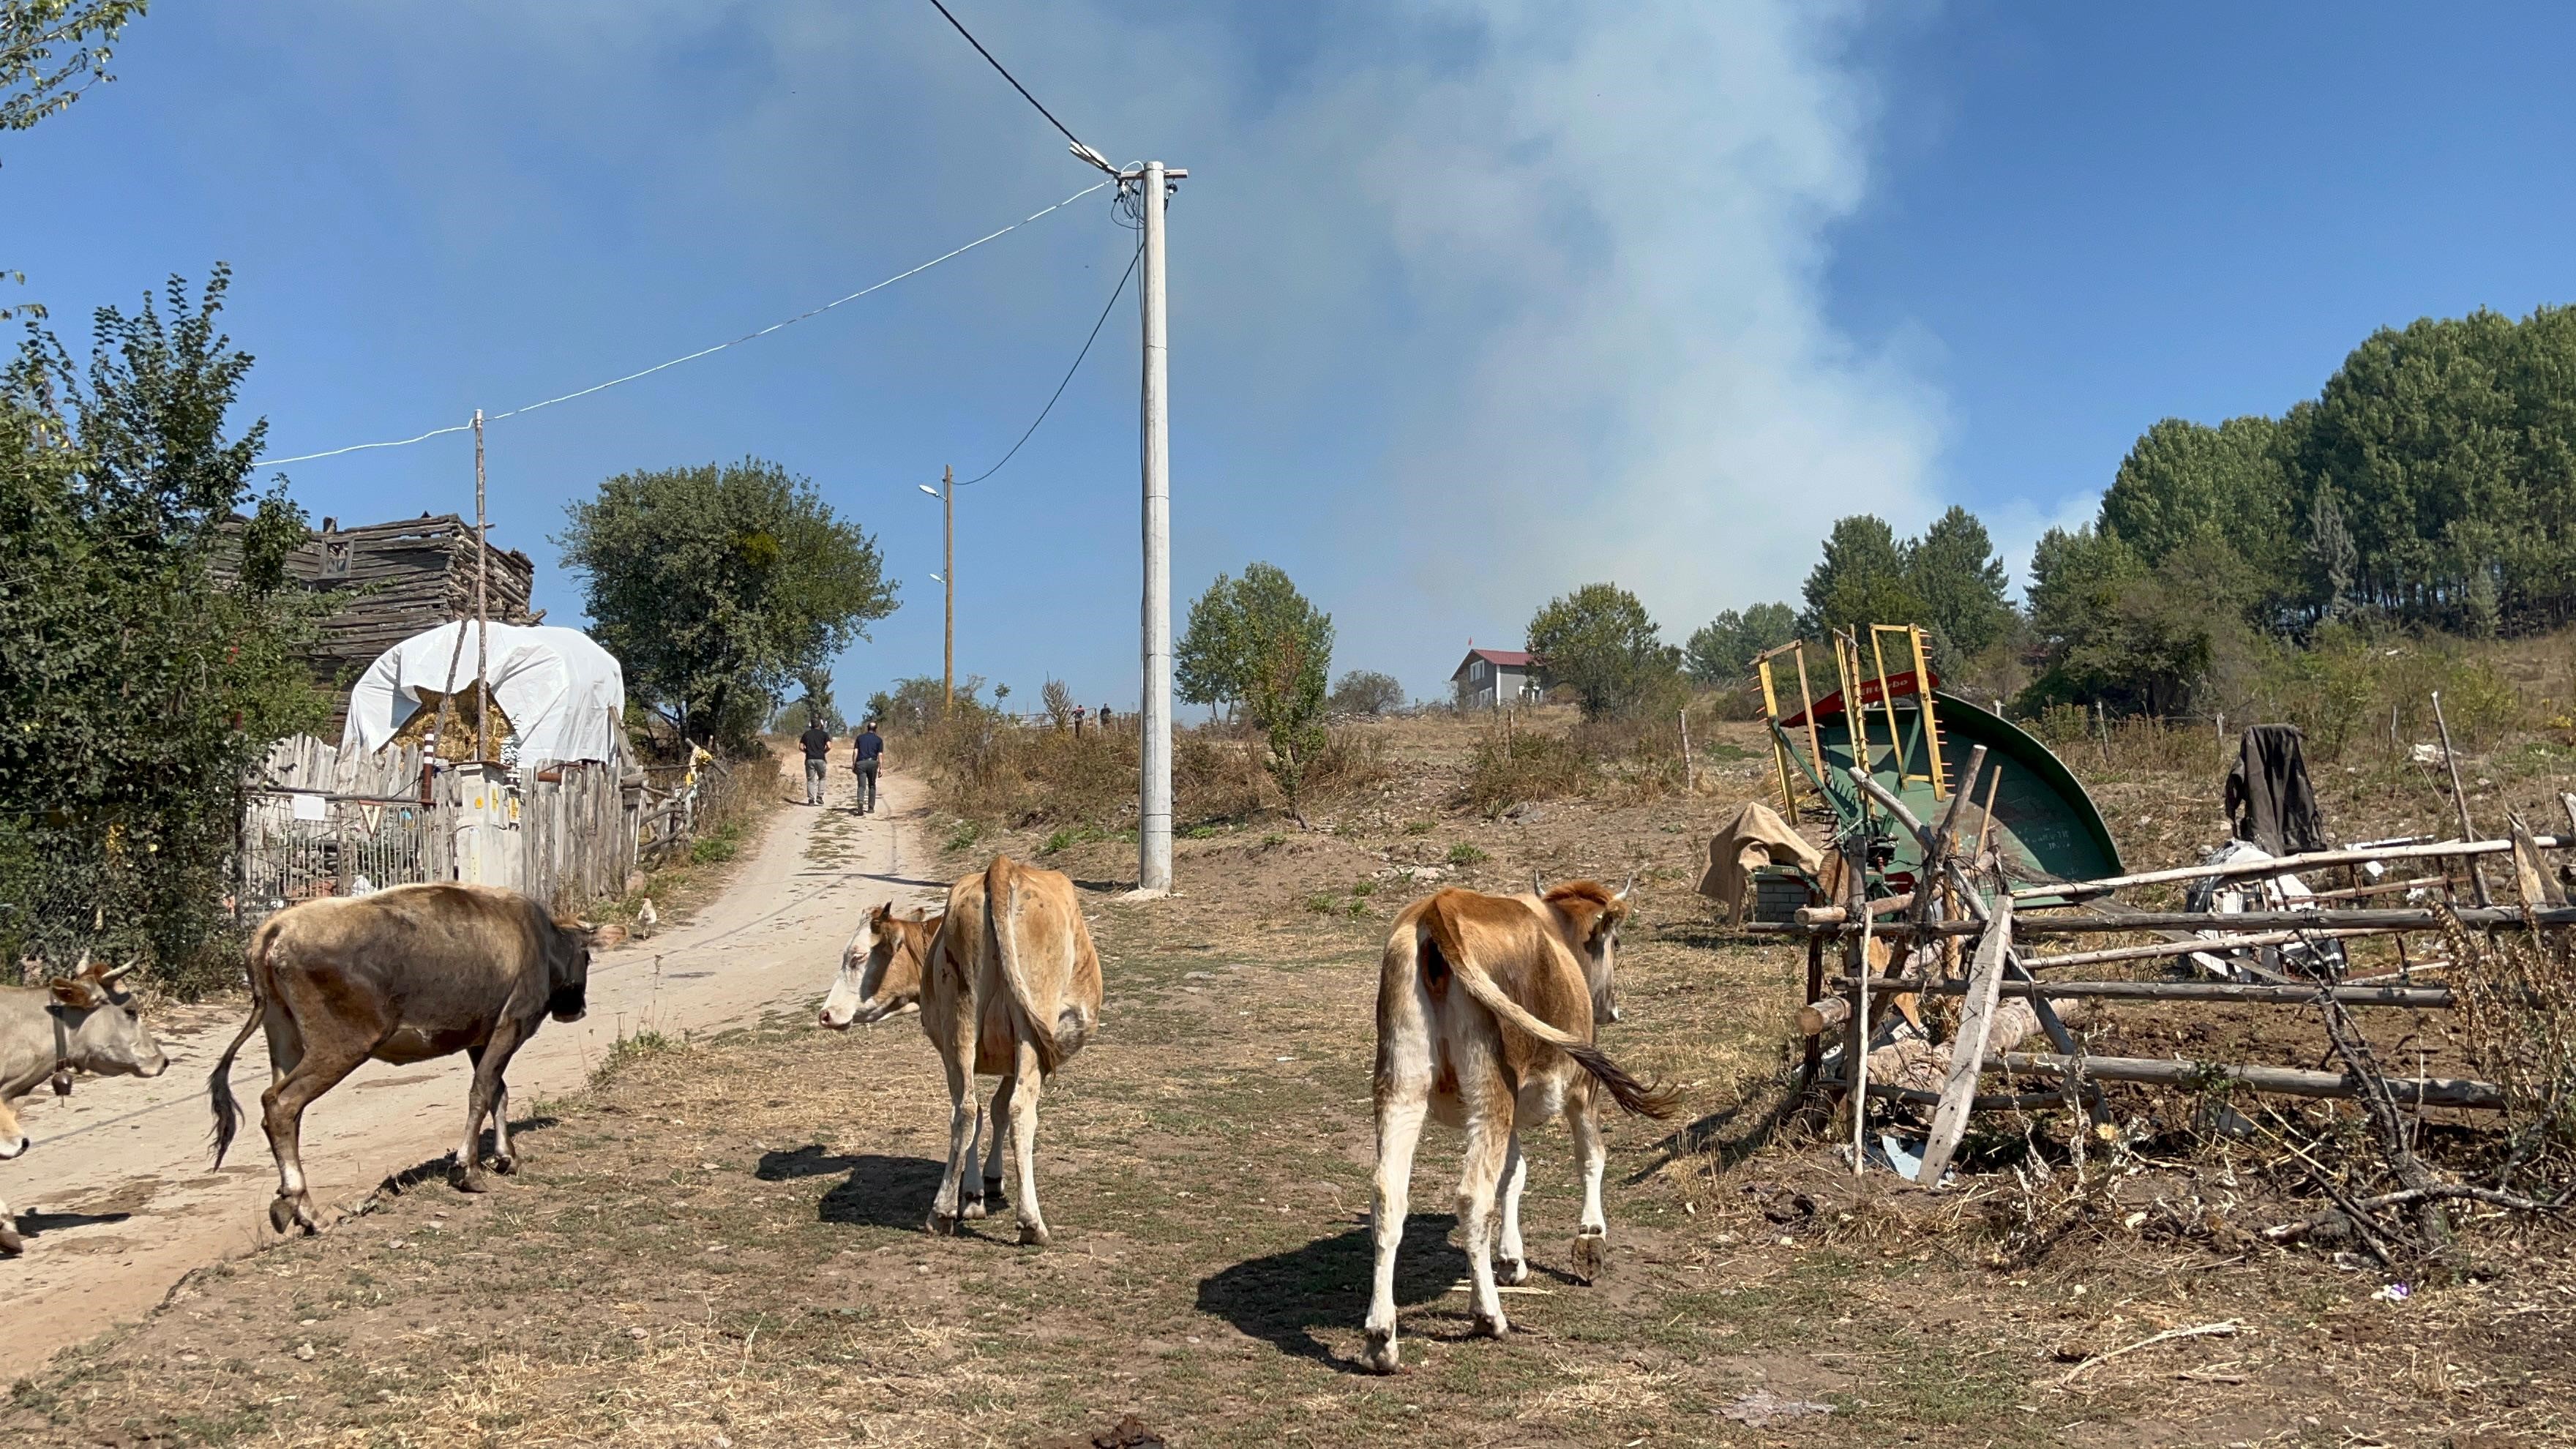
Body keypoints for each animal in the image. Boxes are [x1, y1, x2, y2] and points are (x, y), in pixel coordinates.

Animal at [209, 881, 595, 1227]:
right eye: (588, 957)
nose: (578, 1009)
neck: (540, 942)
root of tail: (277, 928)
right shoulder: (510, 1025)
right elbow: (482, 1092)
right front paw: (468, 1170)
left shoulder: (481, 1037)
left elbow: (498, 1093)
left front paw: (506, 1157)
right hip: (340, 1047)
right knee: (281, 1103)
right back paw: (307, 1211)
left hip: (285, 1039)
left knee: (287, 1112)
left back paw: (294, 1206)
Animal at [1360, 876, 1680, 1371]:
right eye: (1616, 943)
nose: (1612, 1010)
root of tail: (1439, 908)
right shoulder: (1582, 1086)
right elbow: (1591, 1156)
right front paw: (1591, 1238)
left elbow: (1514, 1174)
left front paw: (1511, 1258)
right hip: (1491, 1088)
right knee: (1472, 1197)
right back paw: (1488, 1315)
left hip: (1401, 1085)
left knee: (1388, 1197)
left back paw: (1381, 1336)